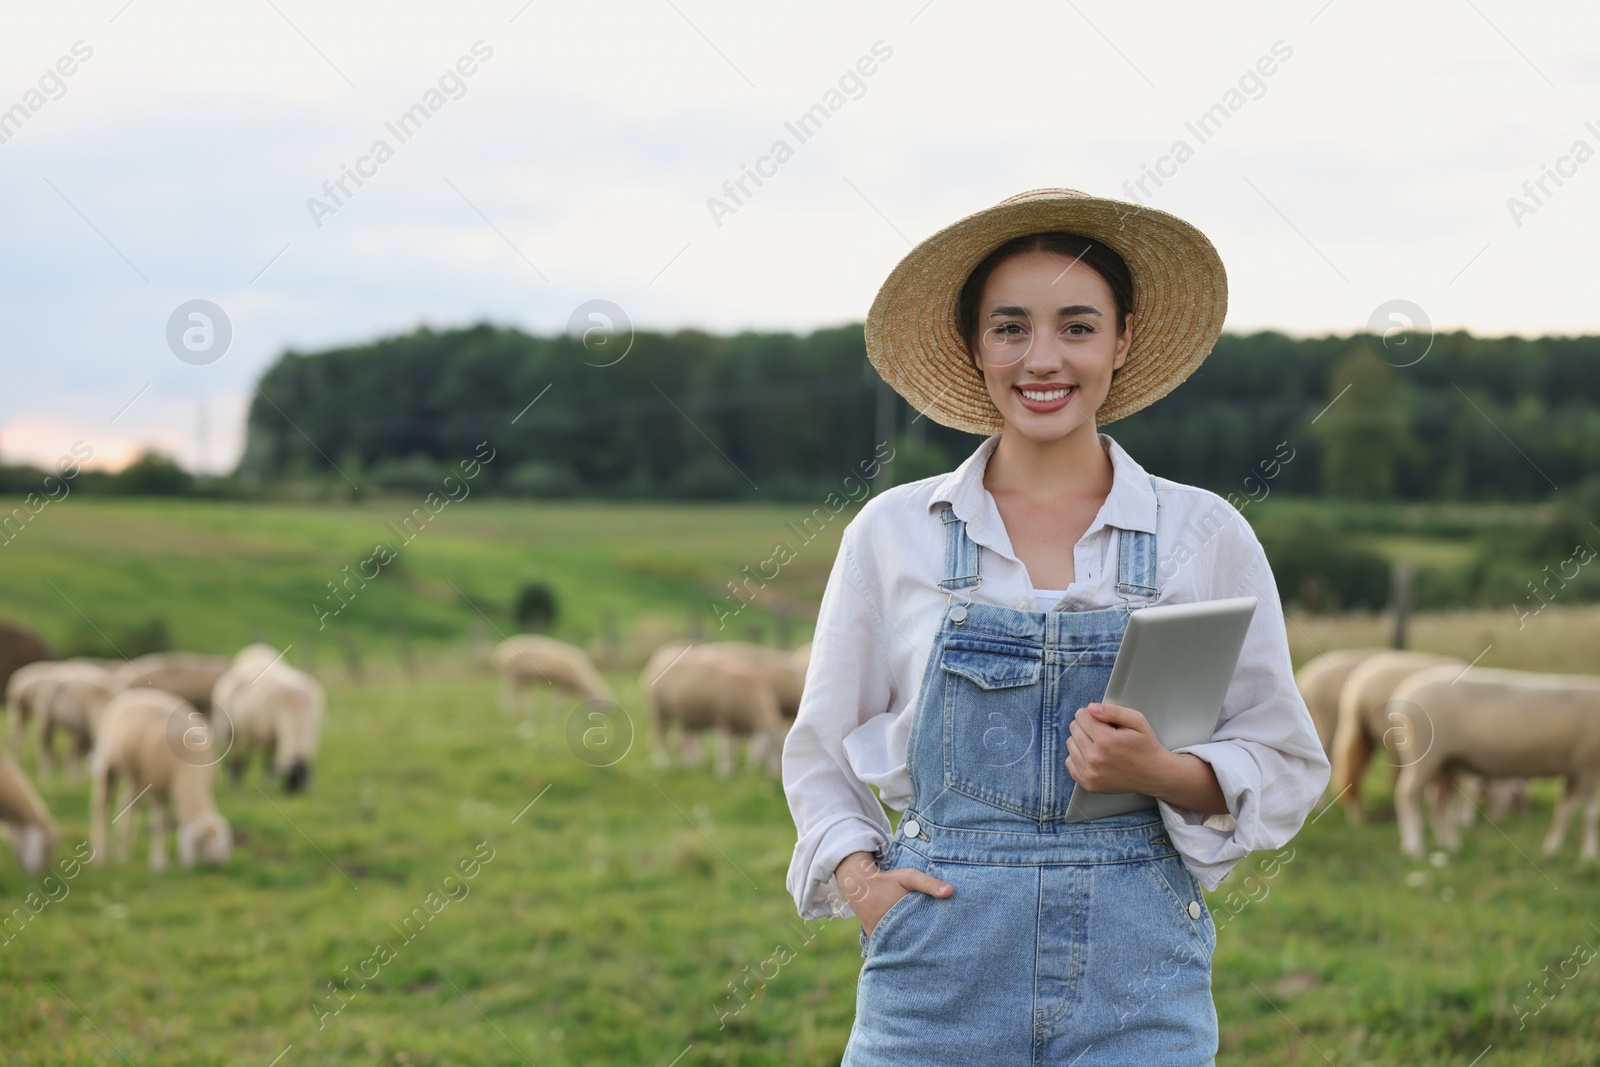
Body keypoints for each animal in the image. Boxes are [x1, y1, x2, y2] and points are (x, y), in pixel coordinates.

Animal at [87, 687, 232, 870]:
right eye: (204, 842)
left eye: (223, 840)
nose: (221, 862)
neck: (189, 772)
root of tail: (132, 693)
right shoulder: (156, 787)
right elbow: (160, 823)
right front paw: (158, 861)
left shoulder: (174, 790)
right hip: (109, 763)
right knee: (101, 804)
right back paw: (101, 853)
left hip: (136, 775)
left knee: (127, 805)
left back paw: (123, 851)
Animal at [212, 643, 324, 793]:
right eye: (289, 779)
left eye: (299, 781)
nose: (293, 793)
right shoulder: (268, 736)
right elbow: (268, 764)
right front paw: (268, 785)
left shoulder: (310, 733)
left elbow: (270, 763)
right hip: (227, 730)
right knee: (234, 757)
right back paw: (235, 783)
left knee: (244, 756)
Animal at [636, 639, 787, 780]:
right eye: (770, 748)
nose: (776, 776)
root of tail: (659, 655)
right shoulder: (722, 718)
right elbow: (725, 747)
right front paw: (725, 771)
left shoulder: (740, 726)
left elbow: (737, 748)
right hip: (658, 710)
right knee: (660, 736)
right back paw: (663, 762)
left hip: (687, 716)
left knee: (684, 739)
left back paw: (691, 764)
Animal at [1388, 662, 1600, 863]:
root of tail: (1403, 694)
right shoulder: (1589, 766)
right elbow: (1591, 814)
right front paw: (1588, 856)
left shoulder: (1574, 770)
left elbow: (1565, 811)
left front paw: (1552, 849)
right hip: (1423, 757)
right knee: (1407, 795)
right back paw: (1414, 848)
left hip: (1446, 762)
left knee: (1437, 802)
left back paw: (1450, 845)